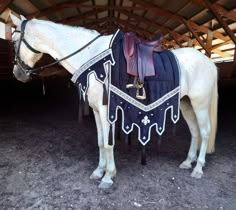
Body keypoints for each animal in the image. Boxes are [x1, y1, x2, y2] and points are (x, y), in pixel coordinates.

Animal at [10, 13, 218, 189]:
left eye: (13, 41)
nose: (17, 73)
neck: (92, 56)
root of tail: (210, 62)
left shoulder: (105, 110)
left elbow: (109, 144)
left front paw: (108, 176)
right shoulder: (95, 110)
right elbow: (101, 141)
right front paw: (99, 171)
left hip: (199, 104)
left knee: (205, 131)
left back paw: (198, 168)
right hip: (186, 104)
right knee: (195, 131)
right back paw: (188, 162)